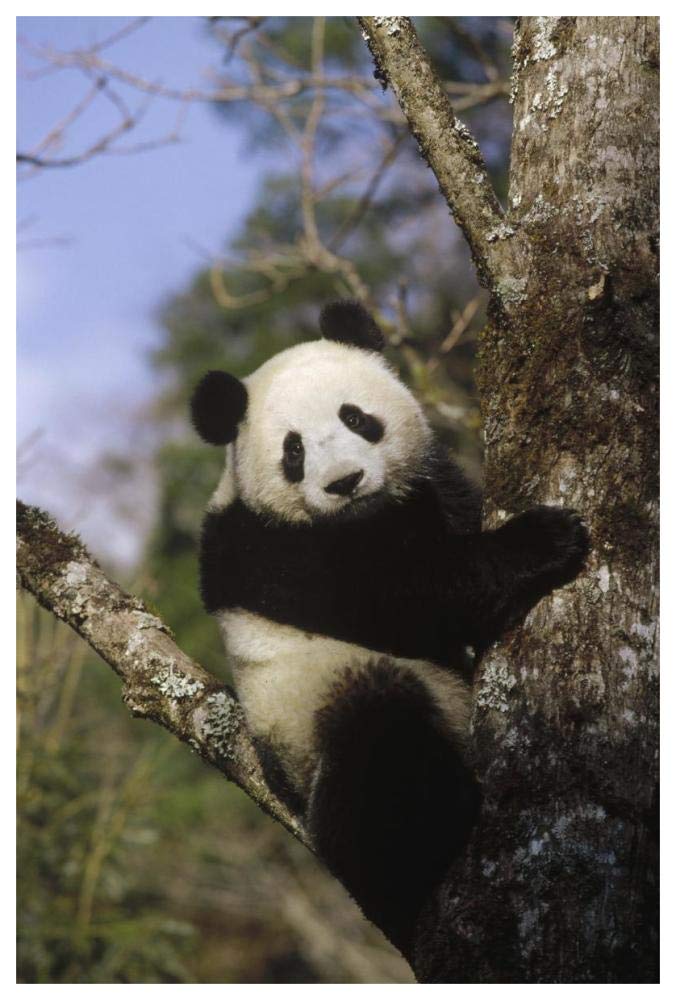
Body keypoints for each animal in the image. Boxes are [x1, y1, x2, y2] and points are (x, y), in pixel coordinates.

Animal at [190, 300, 589, 951]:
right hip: (312, 711)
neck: (368, 518)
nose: (344, 482)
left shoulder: (428, 490)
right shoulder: (275, 554)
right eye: (293, 452)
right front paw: (545, 540)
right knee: (376, 740)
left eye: (356, 417)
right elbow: (411, 597)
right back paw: (427, 851)